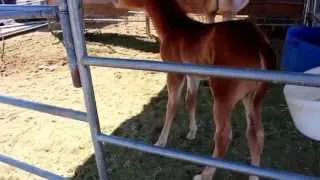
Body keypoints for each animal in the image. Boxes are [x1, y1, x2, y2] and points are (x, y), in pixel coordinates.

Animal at [111, 0, 276, 179]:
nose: (115, 2)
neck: (174, 28)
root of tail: (259, 43)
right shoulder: (193, 76)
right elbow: (191, 101)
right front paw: (192, 132)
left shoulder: (175, 73)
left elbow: (172, 106)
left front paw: (161, 142)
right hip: (252, 98)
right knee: (256, 133)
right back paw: (253, 174)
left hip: (223, 96)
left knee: (224, 136)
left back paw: (205, 174)